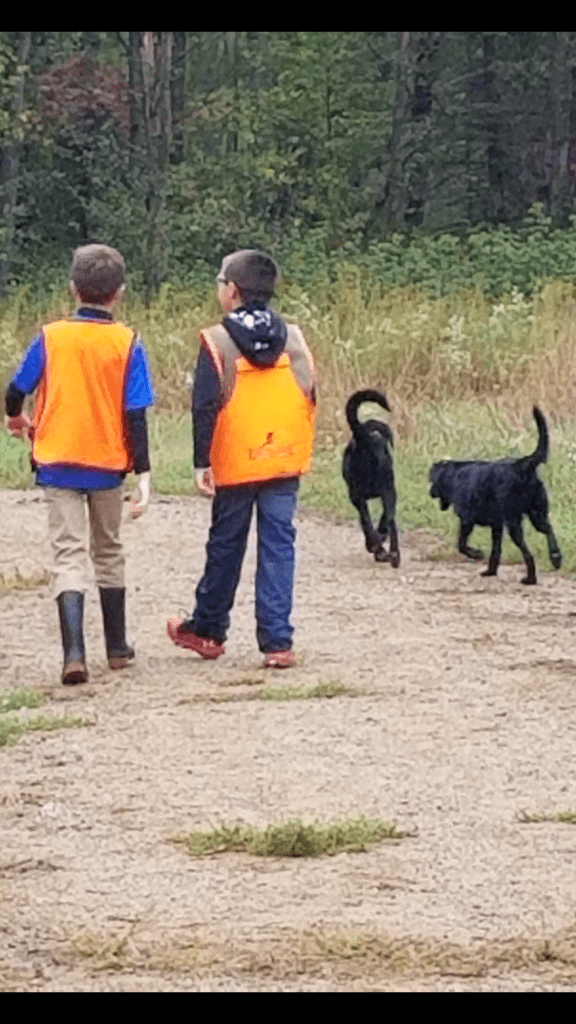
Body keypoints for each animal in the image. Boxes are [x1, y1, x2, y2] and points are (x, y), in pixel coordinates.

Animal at [342, 389, 400, 566]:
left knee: (369, 524)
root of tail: (366, 440)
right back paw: (393, 554)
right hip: (387, 491)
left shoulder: (358, 498)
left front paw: (375, 546)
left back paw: (379, 549)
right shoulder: (388, 492)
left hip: (359, 495)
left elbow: (367, 524)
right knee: (390, 521)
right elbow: (384, 519)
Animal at [429, 406, 562, 585]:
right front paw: (490, 571)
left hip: (514, 523)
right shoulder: (496, 525)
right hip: (537, 514)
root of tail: (521, 466)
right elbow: (496, 551)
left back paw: (531, 578)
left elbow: (461, 544)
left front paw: (476, 554)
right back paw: (556, 558)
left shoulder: (467, 520)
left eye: (432, 481)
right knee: (548, 529)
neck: (454, 476)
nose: (430, 493)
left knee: (528, 552)